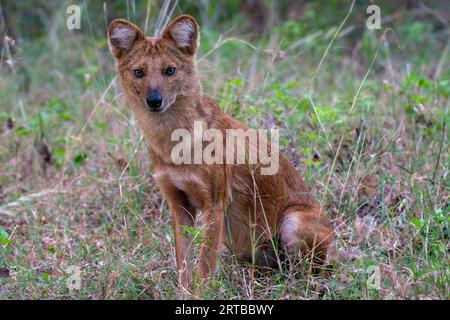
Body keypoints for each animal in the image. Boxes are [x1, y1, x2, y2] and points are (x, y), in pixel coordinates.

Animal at [108, 13, 334, 292]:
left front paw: (198, 295)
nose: (154, 101)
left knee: (307, 272)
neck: (173, 143)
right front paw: (183, 292)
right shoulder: (178, 204)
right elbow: (183, 261)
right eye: (139, 72)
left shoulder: (215, 203)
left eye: (170, 70)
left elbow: (204, 265)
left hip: (292, 223)